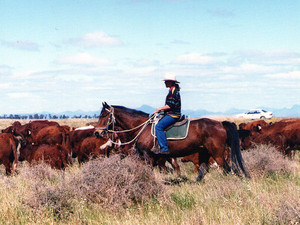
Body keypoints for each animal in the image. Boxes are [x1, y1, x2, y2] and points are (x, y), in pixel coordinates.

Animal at [96, 102, 251, 181]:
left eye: (103, 115)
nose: (97, 132)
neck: (142, 127)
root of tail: (220, 124)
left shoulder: (148, 156)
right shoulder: (156, 158)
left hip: (217, 153)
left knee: (227, 169)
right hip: (205, 153)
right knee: (203, 170)